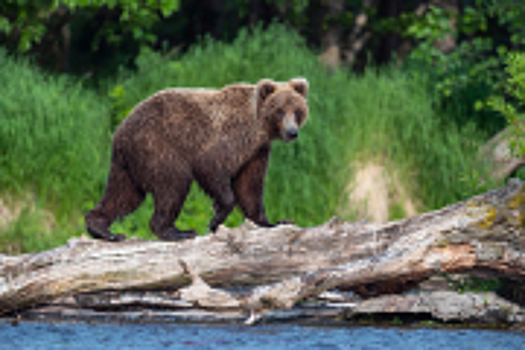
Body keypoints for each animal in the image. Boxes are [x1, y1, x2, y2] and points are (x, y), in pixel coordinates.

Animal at [84, 77, 310, 241]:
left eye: (297, 111)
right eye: (279, 111)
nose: (292, 132)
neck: (259, 129)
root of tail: (119, 133)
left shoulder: (256, 152)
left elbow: (249, 187)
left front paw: (275, 222)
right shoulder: (229, 137)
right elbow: (210, 166)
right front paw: (216, 218)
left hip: (129, 165)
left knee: (123, 195)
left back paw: (103, 229)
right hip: (158, 147)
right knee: (173, 184)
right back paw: (176, 231)